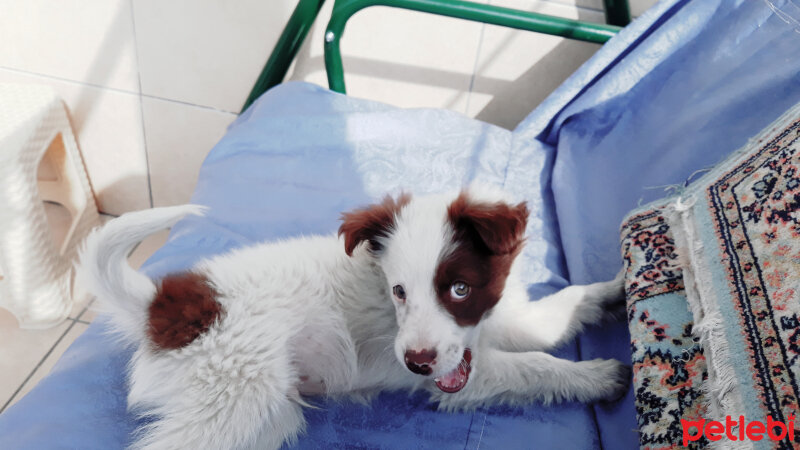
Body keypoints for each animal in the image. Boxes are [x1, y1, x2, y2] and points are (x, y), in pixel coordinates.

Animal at [79, 186, 632, 450]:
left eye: (460, 289)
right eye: (398, 291)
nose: (416, 361)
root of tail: (161, 305)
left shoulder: (495, 324)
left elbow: (560, 309)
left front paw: (617, 287)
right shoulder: (457, 375)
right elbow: (534, 365)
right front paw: (598, 376)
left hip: (271, 414)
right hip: (233, 399)